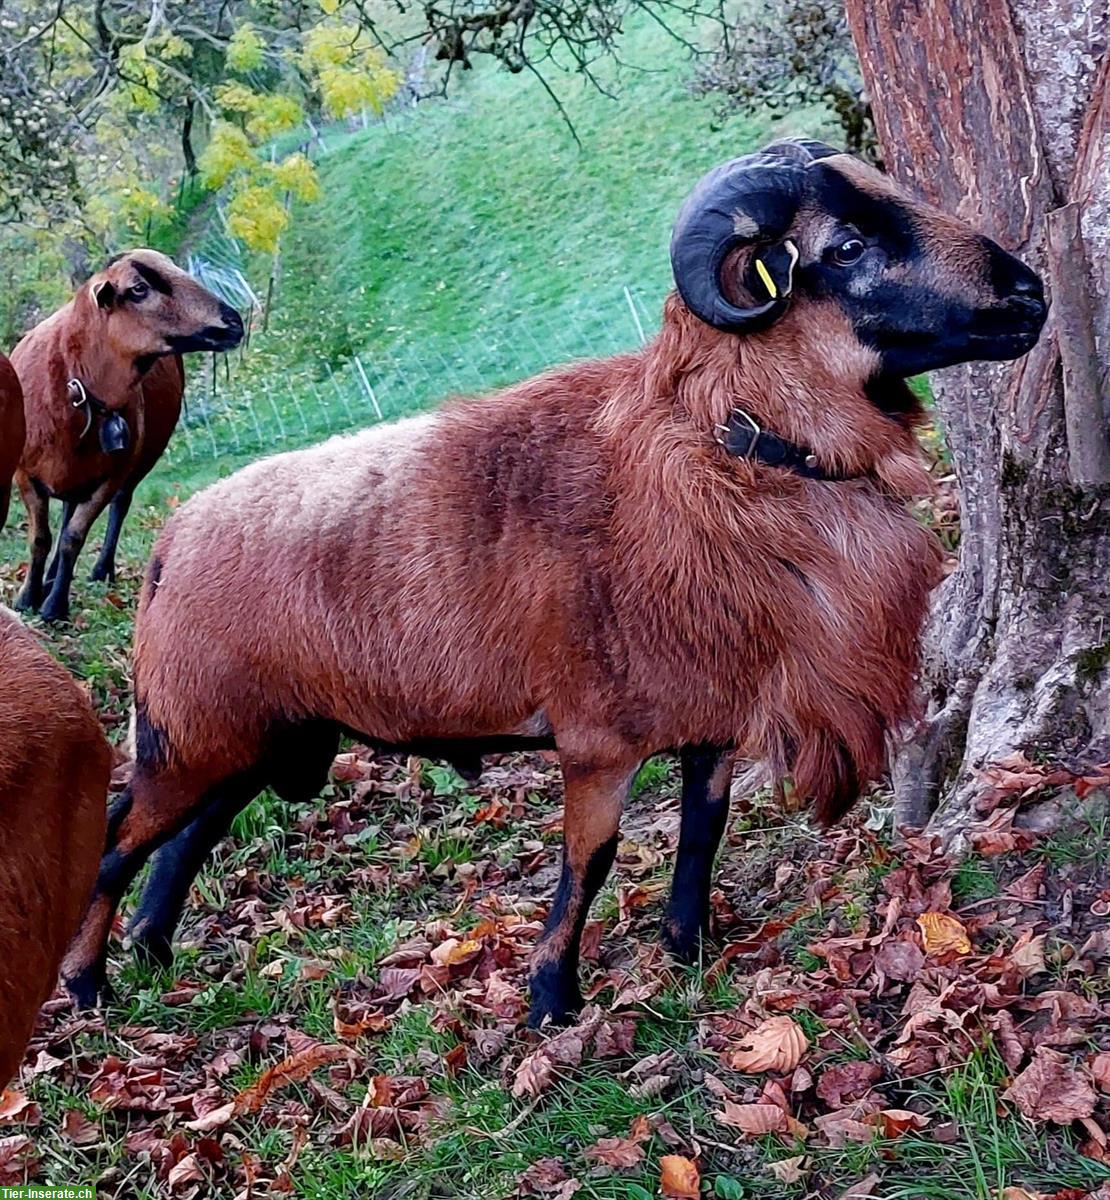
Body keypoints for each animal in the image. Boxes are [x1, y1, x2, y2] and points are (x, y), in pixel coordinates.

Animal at [10, 248, 242, 624]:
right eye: (138, 289)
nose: (234, 322)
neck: (77, 388)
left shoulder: (112, 475)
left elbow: (73, 537)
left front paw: (54, 606)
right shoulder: (24, 474)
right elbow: (41, 539)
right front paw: (27, 598)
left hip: (141, 459)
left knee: (119, 506)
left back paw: (98, 571)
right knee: (66, 511)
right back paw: (49, 578)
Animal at [62, 138, 1046, 1022]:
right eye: (844, 248)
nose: (1030, 294)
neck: (727, 444)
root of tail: (173, 535)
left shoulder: (712, 713)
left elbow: (703, 830)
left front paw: (687, 950)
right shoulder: (597, 737)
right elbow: (590, 862)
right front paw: (551, 1001)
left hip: (255, 736)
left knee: (185, 840)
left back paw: (151, 952)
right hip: (197, 731)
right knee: (115, 841)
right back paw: (86, 985)